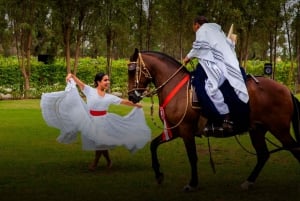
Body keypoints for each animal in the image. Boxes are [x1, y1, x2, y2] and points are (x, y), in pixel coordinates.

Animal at [126, 48, 300, 191]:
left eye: (132, 71)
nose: (131, 96)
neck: (178, 90)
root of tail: (286, 90)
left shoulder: (186, 131)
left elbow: (192, 157)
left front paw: (192, 184)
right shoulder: (175, 130)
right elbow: (153, 145)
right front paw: (158, 175)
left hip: (279, 129)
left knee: (294, 149)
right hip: (257, 130)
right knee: (263, 155)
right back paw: (248, 182)